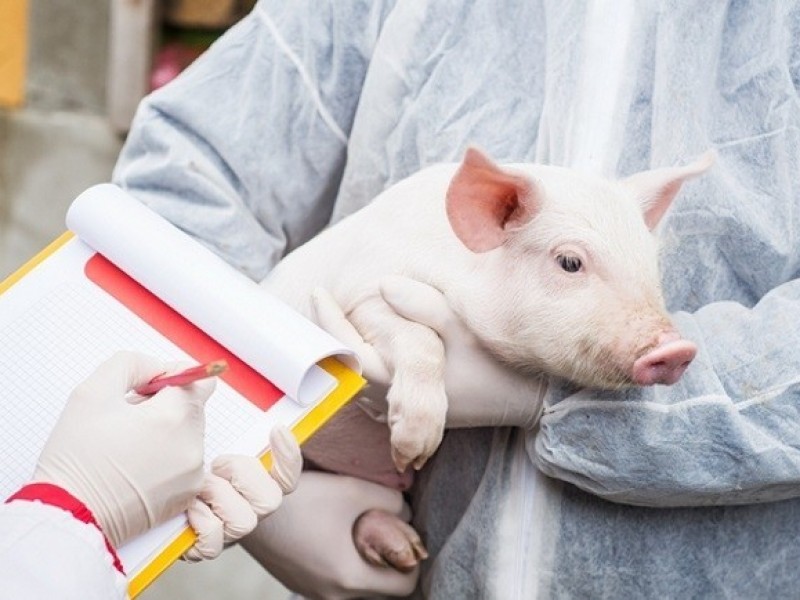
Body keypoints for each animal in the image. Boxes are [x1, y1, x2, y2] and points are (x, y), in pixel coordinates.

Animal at [261, 147, 712, 571]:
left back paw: (403, 553)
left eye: (650, 266)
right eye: (570, 262)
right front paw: (414, 449)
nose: (677, 349)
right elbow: (423, 340)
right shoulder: (360, 297)